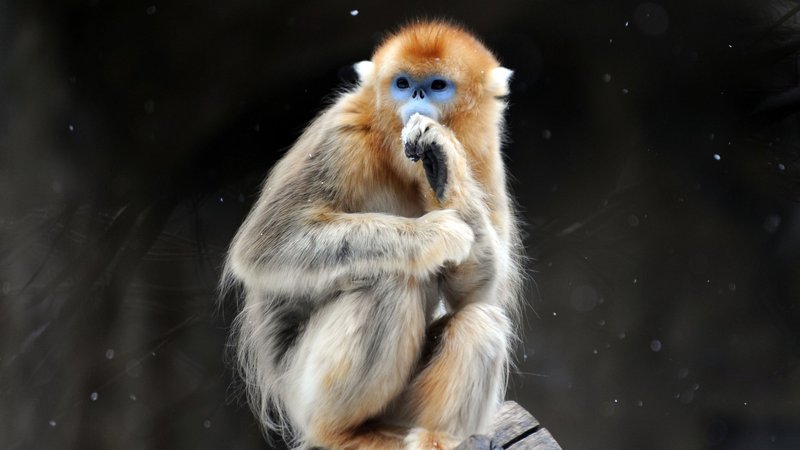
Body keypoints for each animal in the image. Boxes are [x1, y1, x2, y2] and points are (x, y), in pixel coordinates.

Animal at [222, 21, 523, 450]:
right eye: (402, 83)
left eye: (437, 85)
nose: (415, 96)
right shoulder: (342, 132)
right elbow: (264, 247)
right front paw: (435, 233)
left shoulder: (484, 154)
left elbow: (478, 293)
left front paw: (443, 160)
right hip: (303, 388)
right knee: (391, 280)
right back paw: (342, 433)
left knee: (481, 320)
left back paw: (433, 436)